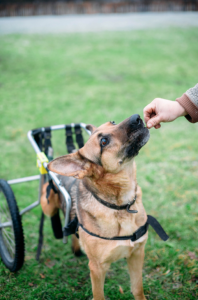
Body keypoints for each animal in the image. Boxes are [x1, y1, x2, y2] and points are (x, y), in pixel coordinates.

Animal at [42, 115, 150, 300]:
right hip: (47, 205)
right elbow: (99, 295)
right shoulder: (97, 268)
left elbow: (137, 289)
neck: (121, 207)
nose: (137, 117)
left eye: (112, 122)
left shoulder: (136, 255)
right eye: (104, 142)